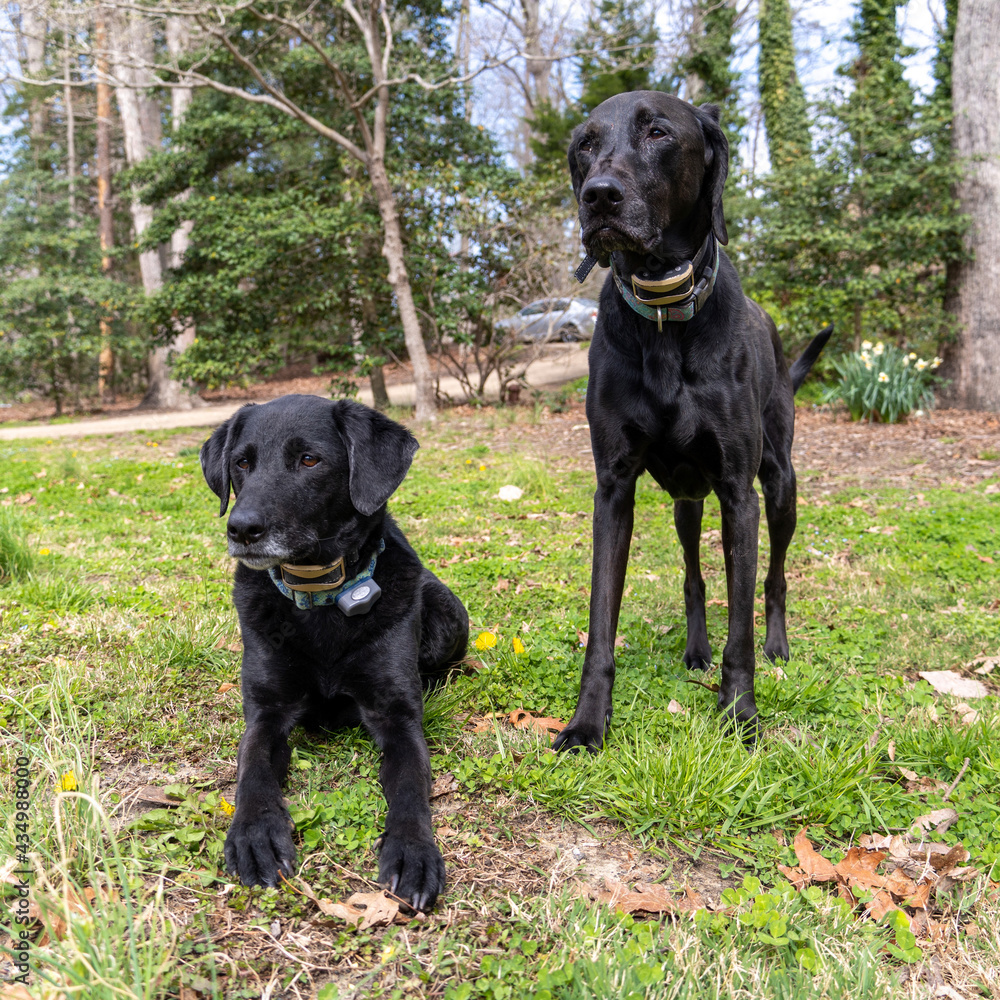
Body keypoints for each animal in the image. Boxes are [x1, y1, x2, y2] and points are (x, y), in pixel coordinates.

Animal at [205, 394, 470, 912]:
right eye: (242, 463)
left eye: (309, 460)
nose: (241, 528)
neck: (320, 597)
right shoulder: (266, 712)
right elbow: (252, 773)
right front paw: (255, 835)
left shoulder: (398, 718)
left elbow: (410, 787)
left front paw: (412, 850)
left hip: (448, 615)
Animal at [556, 94, 828, 752]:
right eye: (585, 144)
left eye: (657, 132)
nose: (598, 197)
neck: (662, 311)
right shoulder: (613, 491)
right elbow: (602, 621)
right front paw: (587, 722)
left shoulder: (738, 494)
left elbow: (742, 627)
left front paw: (740, 713)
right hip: (686, 501)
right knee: (693, 578)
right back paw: (696, 648)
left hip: (780, 486)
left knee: (775, 578)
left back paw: (779, 644)